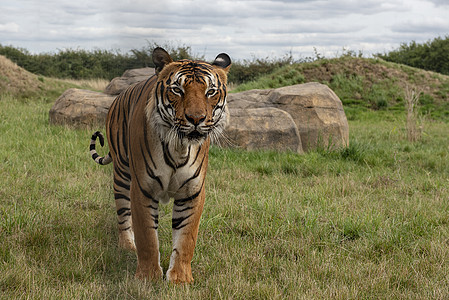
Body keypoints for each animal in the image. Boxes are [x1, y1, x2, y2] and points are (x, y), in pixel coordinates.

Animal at [89, 47, 233, 284]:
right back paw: (127, 246)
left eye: (210, 92)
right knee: (123, 214)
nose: (196, 119)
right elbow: (147, 237)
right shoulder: (142, 188)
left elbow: (186, 239)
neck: (179, 147)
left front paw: (179, 278)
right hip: (122, 174)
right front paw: (148, 277)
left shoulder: (193, 192)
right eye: (177, 89)